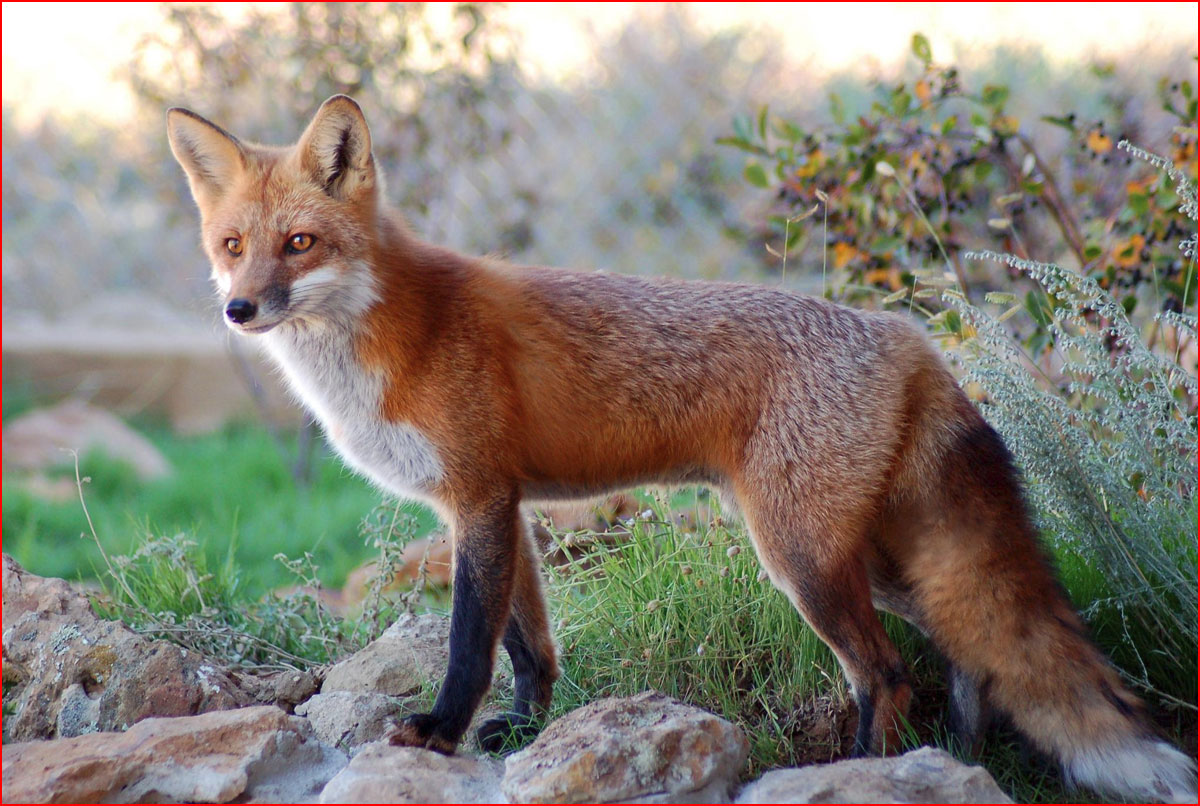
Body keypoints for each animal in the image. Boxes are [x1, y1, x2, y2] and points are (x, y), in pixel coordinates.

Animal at [166, 94, 1190, 801]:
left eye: (300, 243)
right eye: (233, 245)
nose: (239, 309)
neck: (391, 334)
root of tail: (911, 338)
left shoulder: (478, 500)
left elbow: (467, 642)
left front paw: (441, 734)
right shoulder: (503, 507)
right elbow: (530, 646)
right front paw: (520, 733)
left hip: (802, 559)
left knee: (887, 671)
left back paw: (863, 773)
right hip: (866, 559)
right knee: (967, 653)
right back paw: (956, 763)